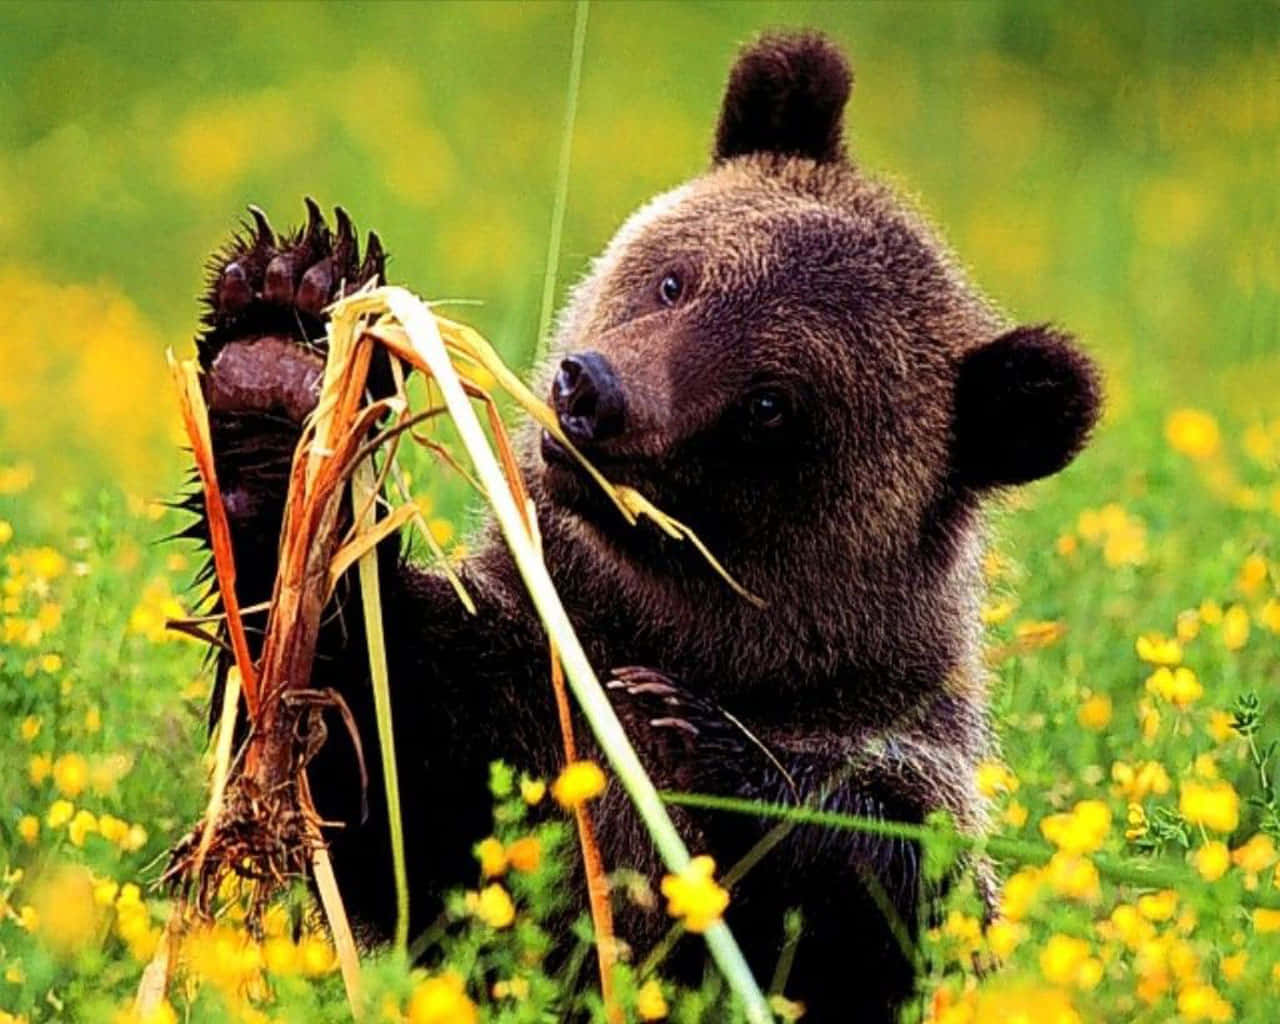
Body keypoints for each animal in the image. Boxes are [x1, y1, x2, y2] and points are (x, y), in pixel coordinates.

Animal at [186, 31, 1100, 1022]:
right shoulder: (511, 692)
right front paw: (277, 354)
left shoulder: (898, 769)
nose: (594, 392)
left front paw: (700, 737)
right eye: (677, 279)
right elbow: (372, 741)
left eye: (772, 403)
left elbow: (879, 889)